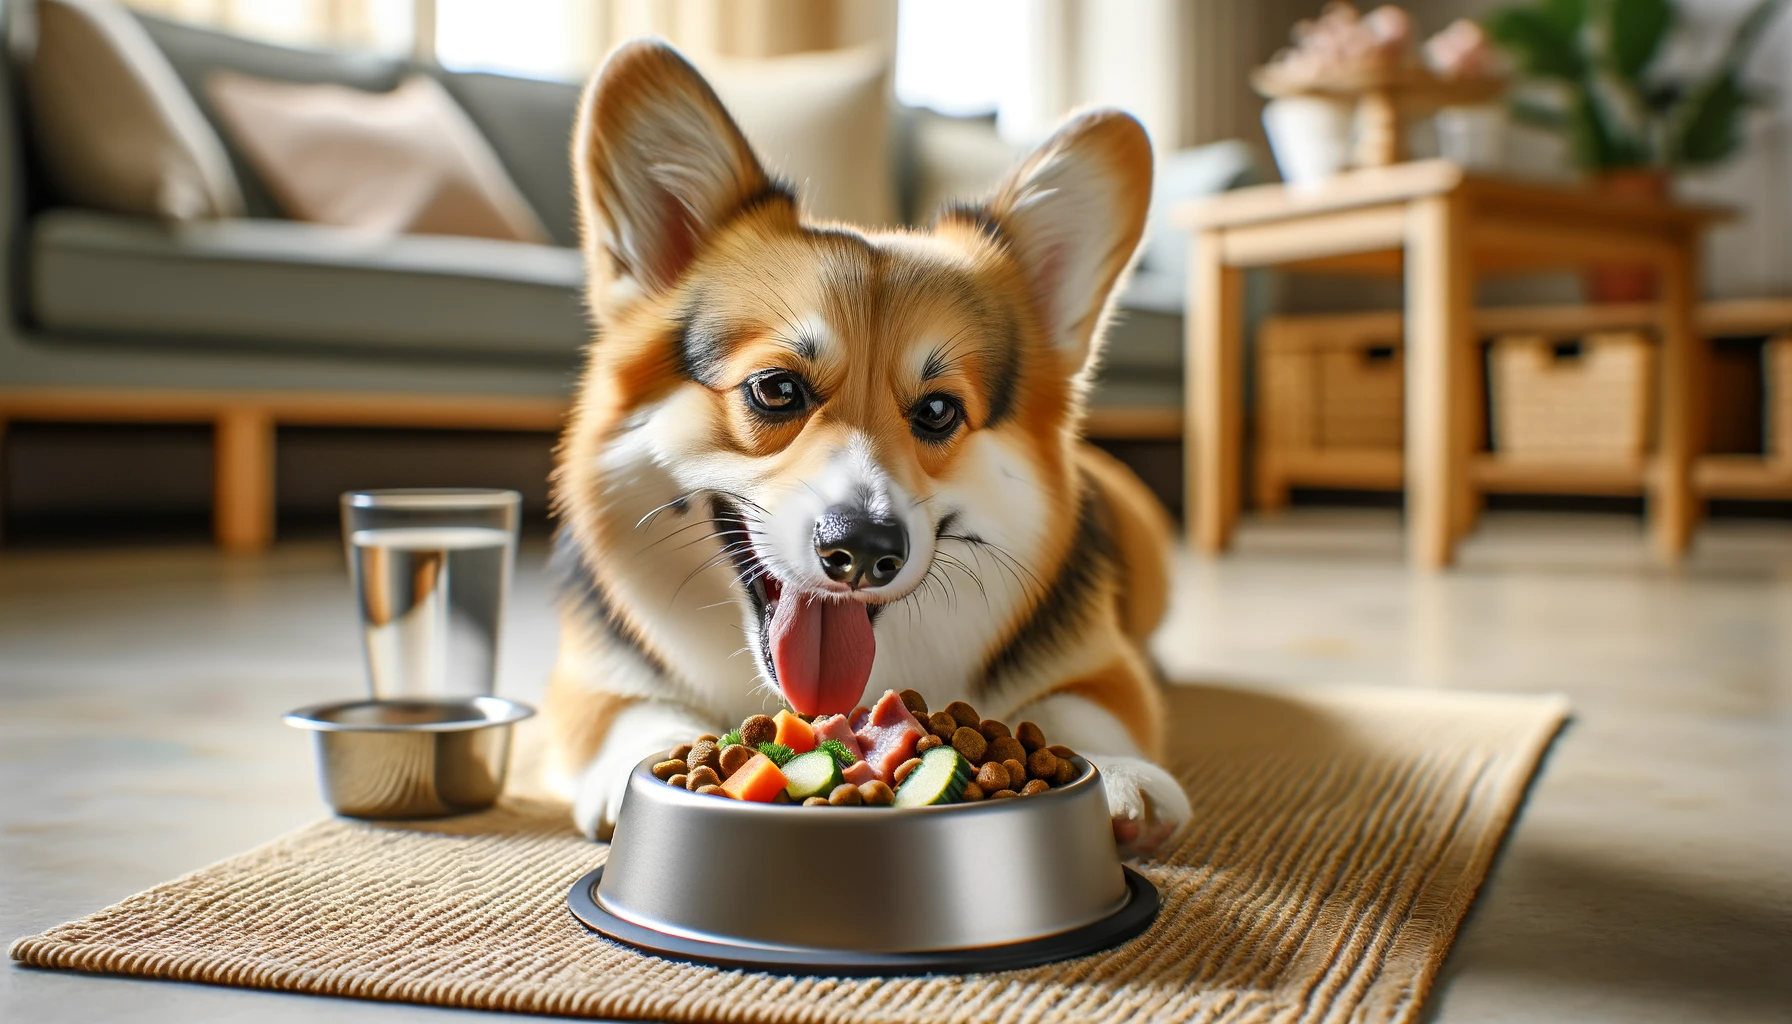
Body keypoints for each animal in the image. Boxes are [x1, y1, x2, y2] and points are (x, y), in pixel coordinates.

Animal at [541, 42, 1189, 857]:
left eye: (939, 411)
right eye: (776, 390)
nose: (864, 552)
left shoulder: (1098, 667)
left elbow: (1083, 704)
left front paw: (1121, 776)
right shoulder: (587, 683)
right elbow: (632, 712)